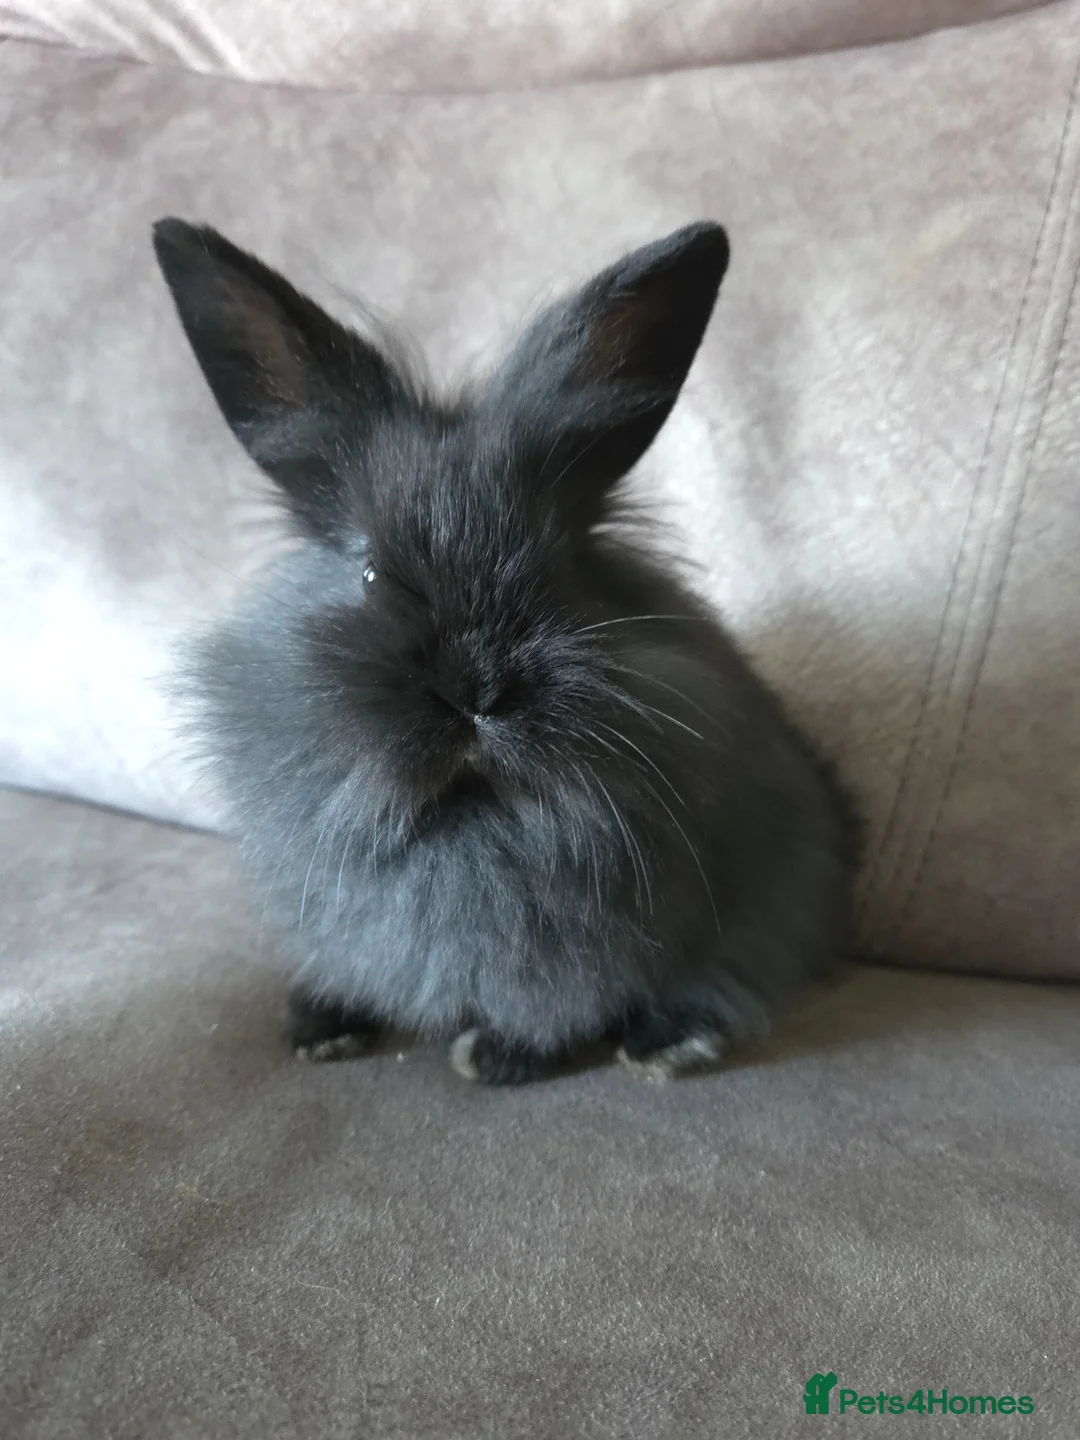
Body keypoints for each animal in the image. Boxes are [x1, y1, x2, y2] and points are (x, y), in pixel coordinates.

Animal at [153, 216, 860, 1085]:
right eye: (370, 572)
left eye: (560, 568)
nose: (473, 689)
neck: (470, 820)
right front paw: (321, 1026)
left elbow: (557, 1005)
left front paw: (497, 1057)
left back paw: (663, 1045)